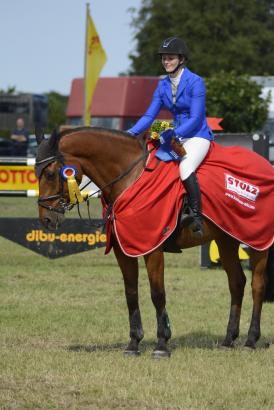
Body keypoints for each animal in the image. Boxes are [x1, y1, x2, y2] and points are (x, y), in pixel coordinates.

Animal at [35, 126, 272, 358]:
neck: (131, 179)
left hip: (257, 240)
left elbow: (157, 293)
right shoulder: (123, 249)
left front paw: (161, 344)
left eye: (50, 173)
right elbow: (131, 293)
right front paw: (133, 344)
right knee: (237, 283)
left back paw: (250, 341)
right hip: (226, 238)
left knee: (257, 285)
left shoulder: (153, 248)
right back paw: (228, 340)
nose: (47, 220)